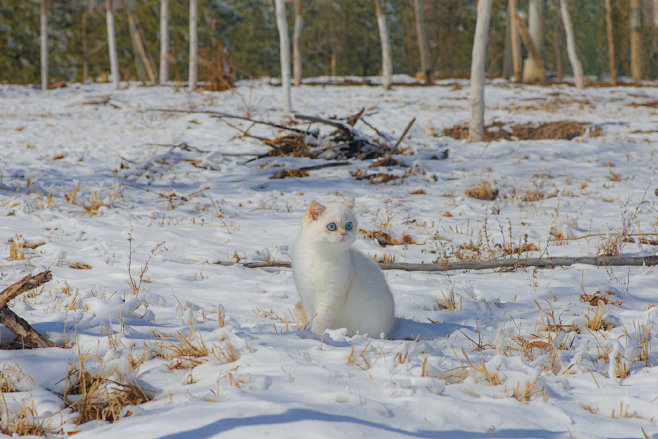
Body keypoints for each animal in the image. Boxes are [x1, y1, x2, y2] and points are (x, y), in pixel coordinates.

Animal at [294, 199, 394, 340]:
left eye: (348, 226)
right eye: (331, 226)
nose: (344, 233)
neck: (321, 257)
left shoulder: (333, 296)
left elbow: (320, 321)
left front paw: (314, 334)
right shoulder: (307, 294)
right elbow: (311, 316)